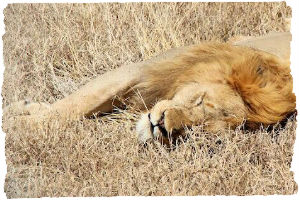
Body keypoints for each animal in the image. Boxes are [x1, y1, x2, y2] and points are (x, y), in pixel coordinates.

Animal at [2, 32, 296, 146]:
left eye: (195, 131)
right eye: (200, 101)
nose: (162, 125)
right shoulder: (137, 71)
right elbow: (72, 106)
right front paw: (14, 123)